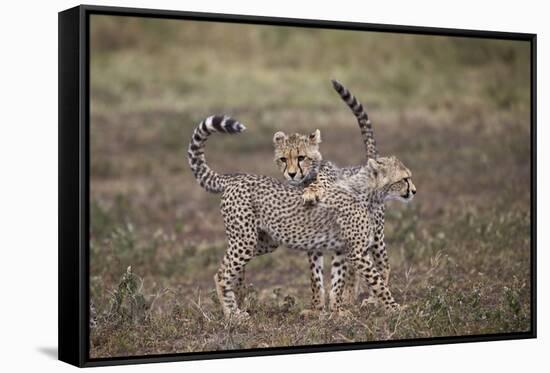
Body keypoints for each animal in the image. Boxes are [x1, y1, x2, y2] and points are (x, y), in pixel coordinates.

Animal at [188, 114, 416, 316]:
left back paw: (240, 293)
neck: (365, 192)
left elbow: (337, 281)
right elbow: (378, 284)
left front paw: (337, 311)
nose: (413, 191)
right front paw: (395, 309)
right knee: (221, 274)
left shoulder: (343, 250)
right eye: (404, 179)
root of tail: (235, 177)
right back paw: (233, 315)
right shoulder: (357, 252)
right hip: (245, 239)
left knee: (229, 267)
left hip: (264, 241)